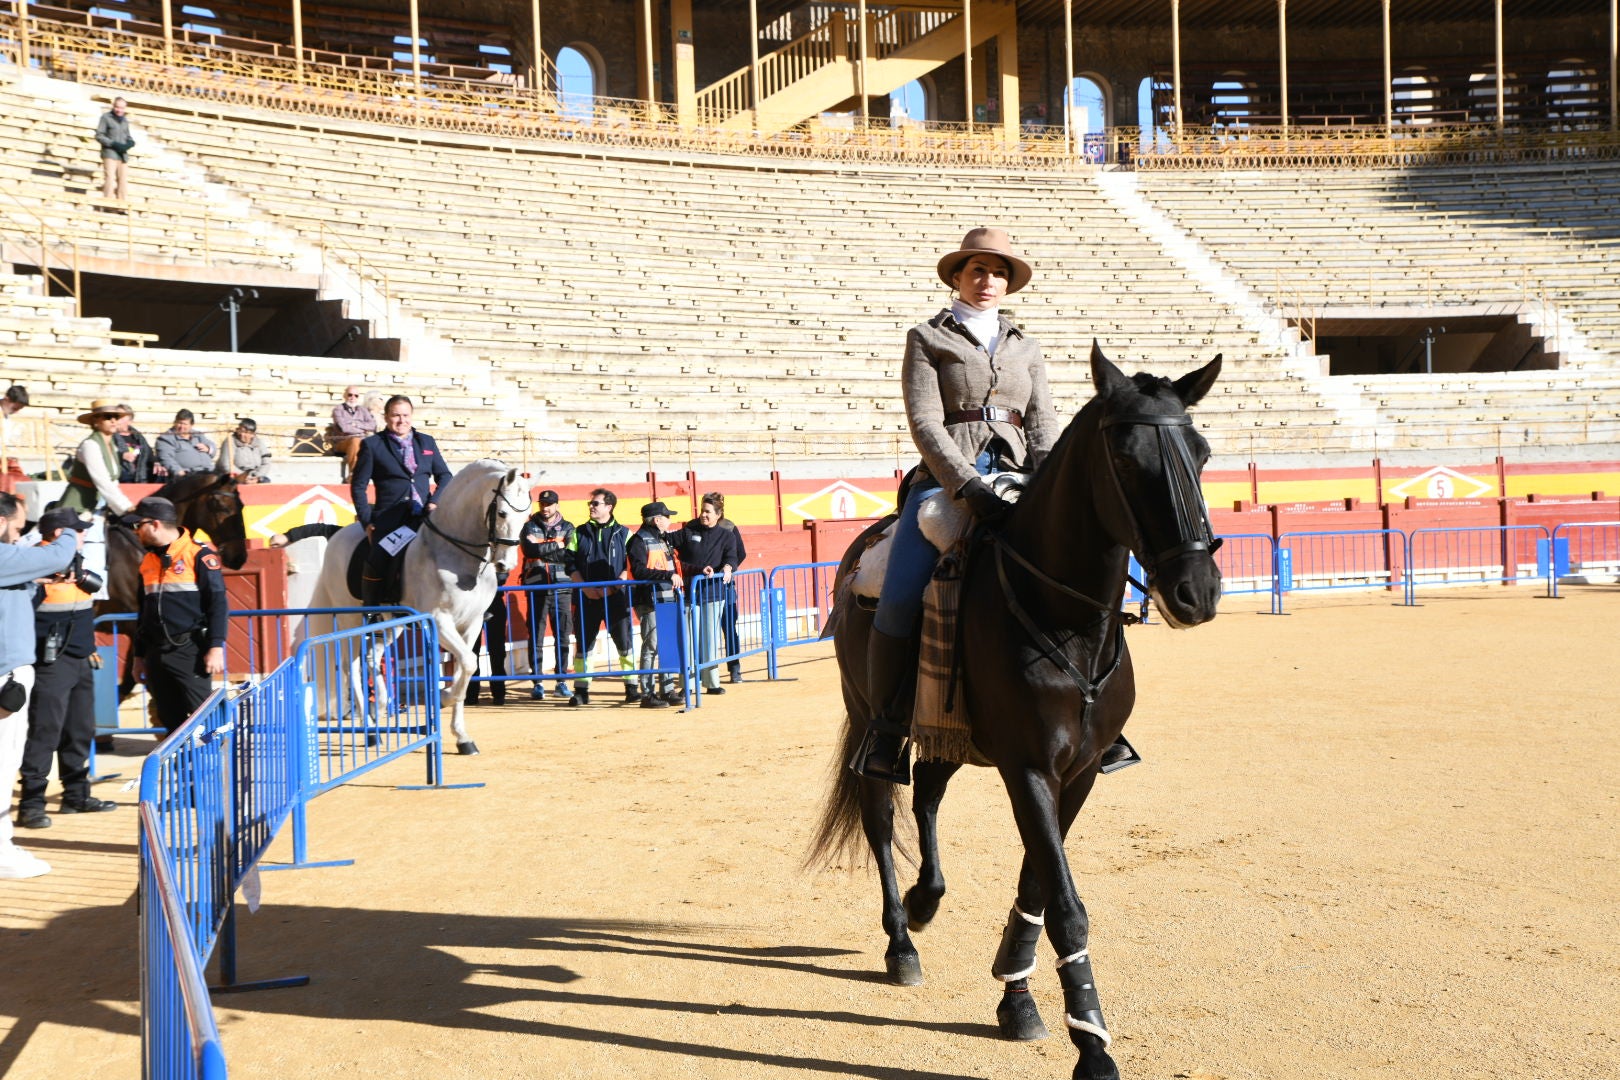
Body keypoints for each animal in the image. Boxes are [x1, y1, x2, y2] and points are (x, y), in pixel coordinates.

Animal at [306, 459, 528, 757]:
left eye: (525, 518)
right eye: (502, 513)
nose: (506, 565)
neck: (455, 553)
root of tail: (338, 536)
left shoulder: (471, 624)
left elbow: (466, 667)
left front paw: (462, 737)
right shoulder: (439, 620)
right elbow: (468, 663)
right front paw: (444, 697)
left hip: (391, 624)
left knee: (372, 658)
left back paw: (381, 708)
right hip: (351, 621)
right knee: (349, 665)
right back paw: (370, 729)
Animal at [816, 346, 1218, 1080]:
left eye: (1201, 453)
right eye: (1127, 461)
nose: (1195, 592)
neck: (1066, 618)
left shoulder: (1077, 771)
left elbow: (1038, 882)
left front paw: (1016, 994)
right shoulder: (1028, 767)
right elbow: (1064, 903)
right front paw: (1091, 1045)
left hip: (949, 729)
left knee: (929, 795)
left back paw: (926, 901)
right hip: (868, 720)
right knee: (881, 816)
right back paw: (901, 943)